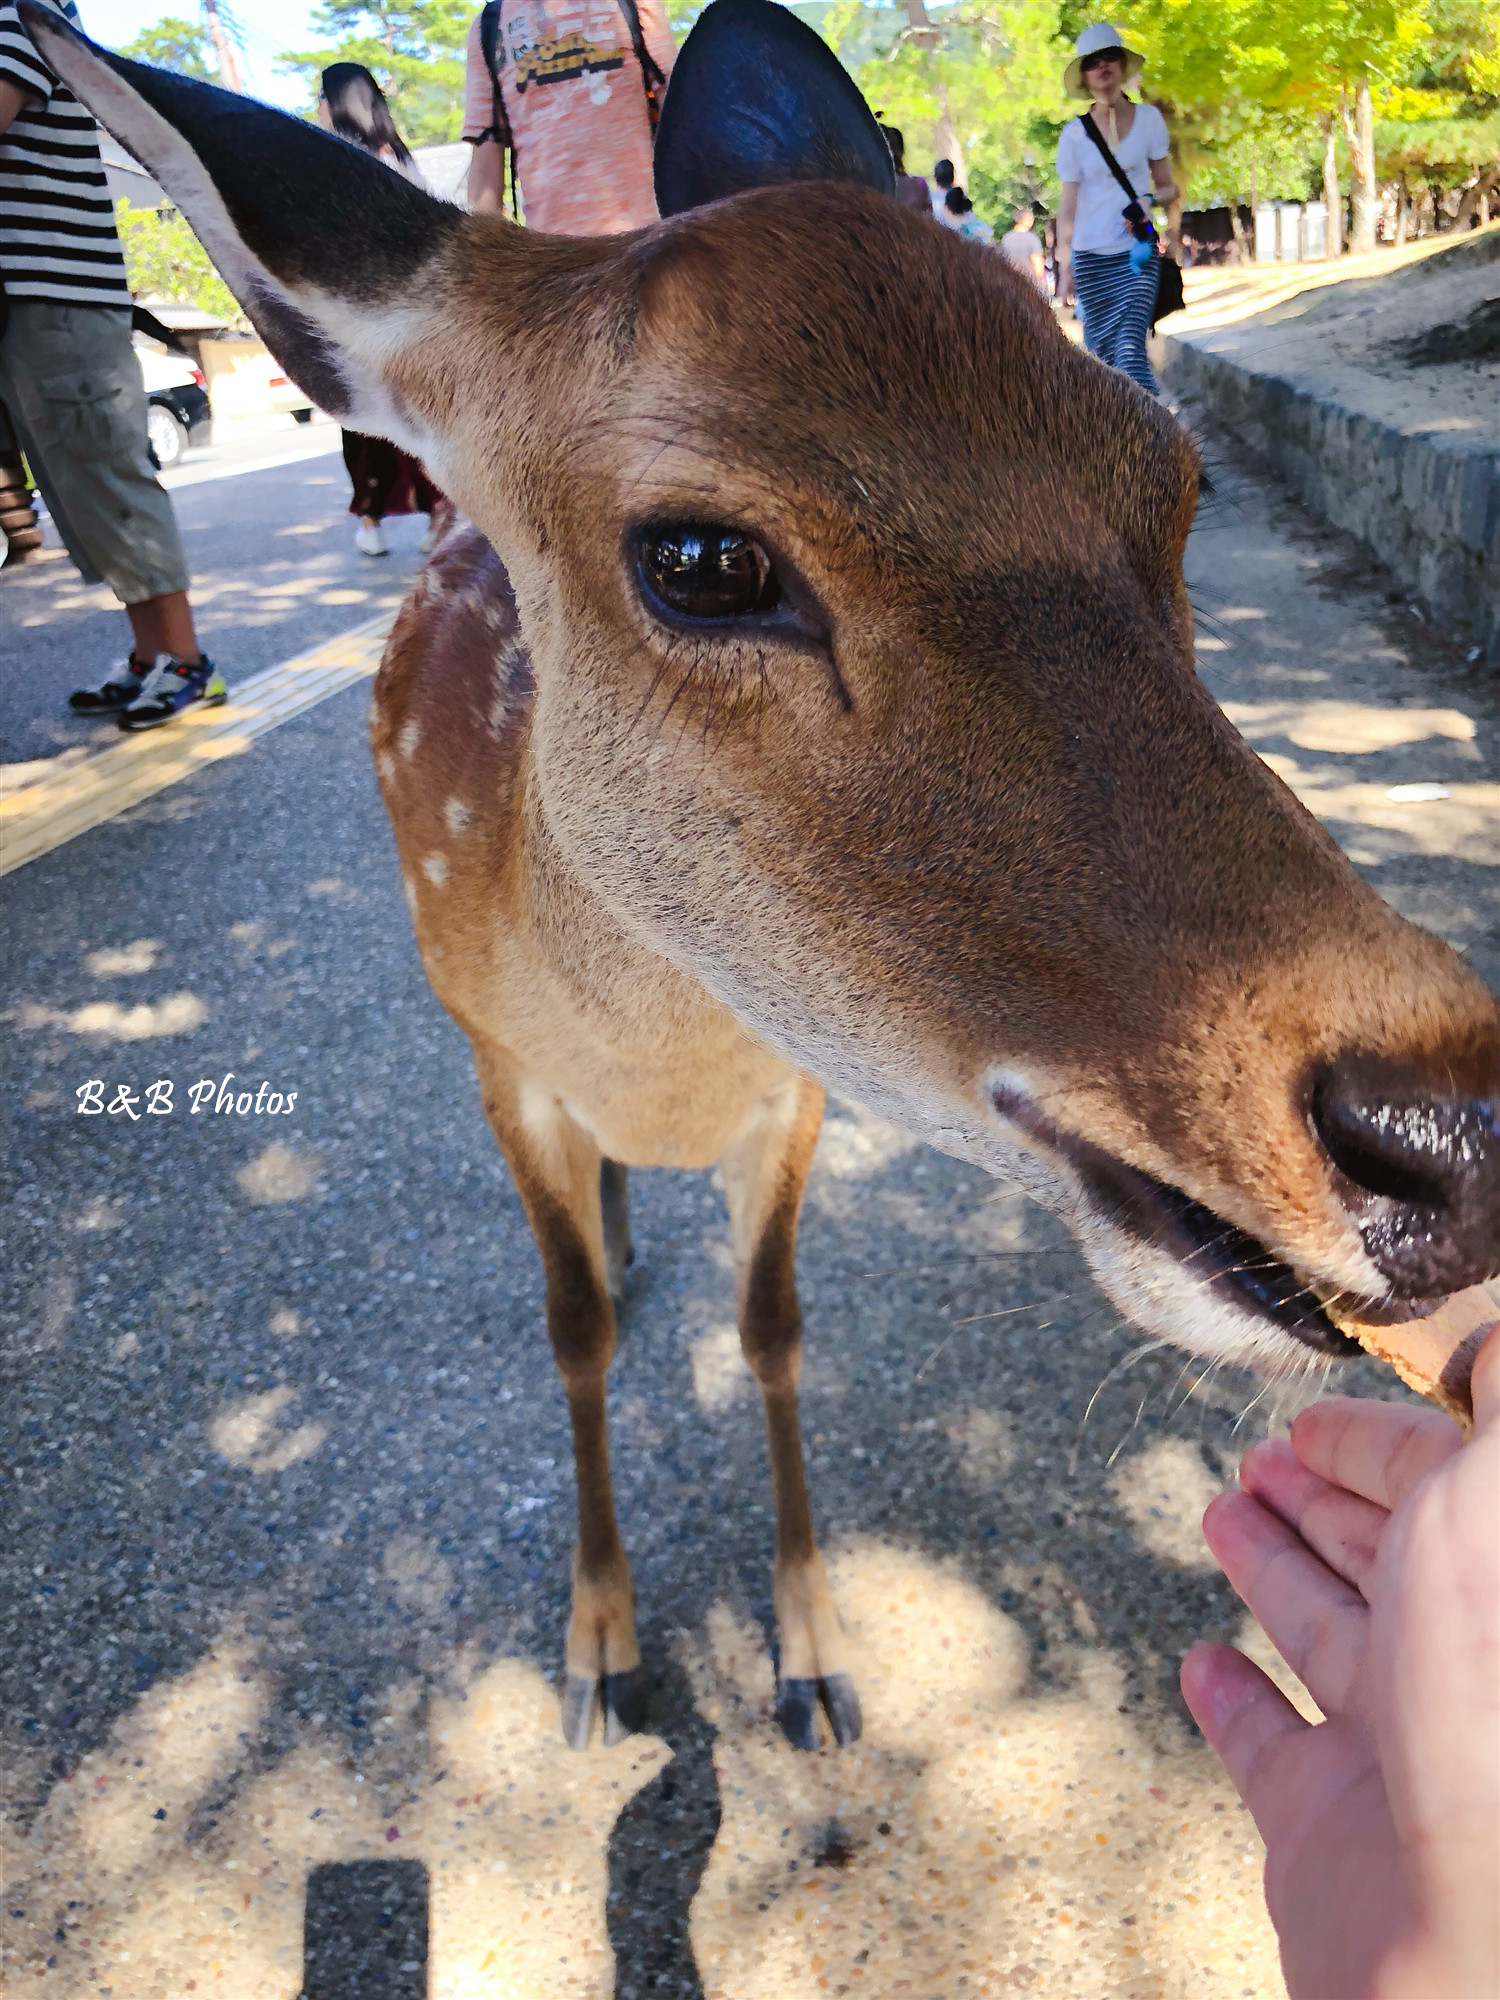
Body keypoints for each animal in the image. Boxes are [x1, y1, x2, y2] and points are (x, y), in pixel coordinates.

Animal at [26, 0, 1500, 1752]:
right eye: (703, 558)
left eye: (1178, 485)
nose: (1456, 1136)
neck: (652, 1067)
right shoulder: (498, 1060)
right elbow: (574, 1328)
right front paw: (600, 1656)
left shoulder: (788, 1094)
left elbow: (776, 1331)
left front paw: (812, 1659)